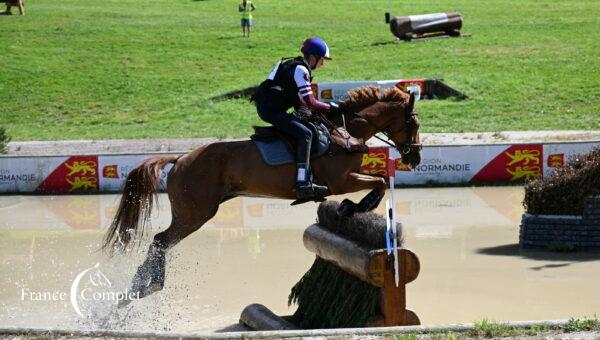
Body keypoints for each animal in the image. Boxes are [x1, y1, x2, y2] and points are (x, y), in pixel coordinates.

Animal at [102, 85, 422, 302]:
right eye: (414, 123)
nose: (415, 158)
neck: (346, 131)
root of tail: (180, 159)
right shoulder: (339, 181)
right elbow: (380, 181)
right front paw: (353, 206)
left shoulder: (345, 179)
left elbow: (381, 179)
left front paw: (352, 207)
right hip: (195, 214)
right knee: (160, 240)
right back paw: (148, 285)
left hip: (192, 212)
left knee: (160, 243)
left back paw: (136, 289)